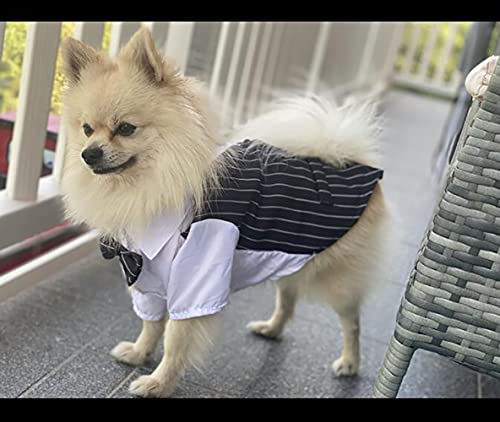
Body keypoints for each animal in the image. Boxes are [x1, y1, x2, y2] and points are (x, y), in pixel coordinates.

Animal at [59, 28, 394, 398]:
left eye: (126, 129)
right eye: (87, 129)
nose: (89, 153)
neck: (150, 186)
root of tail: (352, 161)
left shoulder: (196, 279)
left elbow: (175, 339)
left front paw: (158, 383)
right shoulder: (147, 275)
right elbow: (150, 323)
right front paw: (138, 353)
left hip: (337, 280)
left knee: (352, 322)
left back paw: (350, 363)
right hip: (293, 256)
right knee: (288, 300)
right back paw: (271, 329)